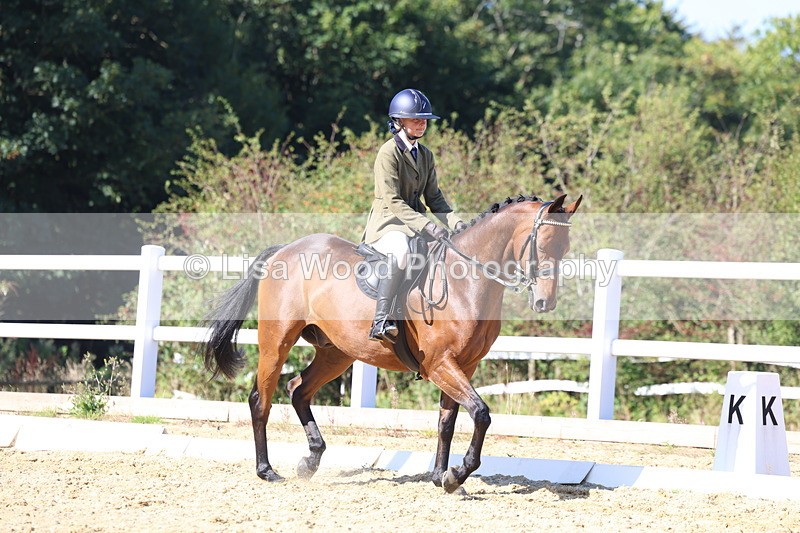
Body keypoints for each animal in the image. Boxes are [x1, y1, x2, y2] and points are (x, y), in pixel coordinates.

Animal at [201, 193, 582, 493]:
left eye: (566, 248)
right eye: (543, 244)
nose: (545, 303)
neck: (467, 281)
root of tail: (286, 250)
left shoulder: (464, 365)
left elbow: (448, 422)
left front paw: (440, 476)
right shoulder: (440, 363)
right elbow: (481, 414)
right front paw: (457, 475)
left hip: (336, 352)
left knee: (298, 389)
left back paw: (310, 461)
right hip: (277, 341)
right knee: (260, 400)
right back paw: (267, 471)